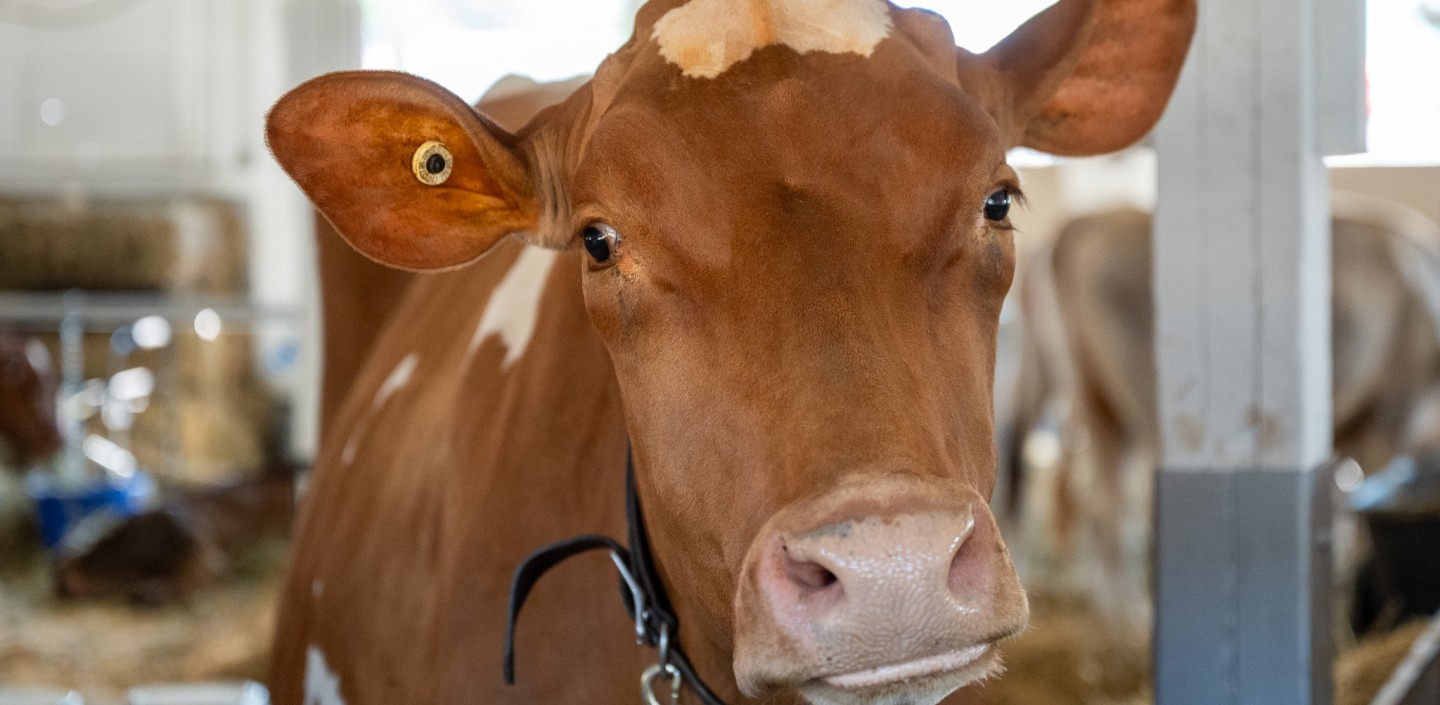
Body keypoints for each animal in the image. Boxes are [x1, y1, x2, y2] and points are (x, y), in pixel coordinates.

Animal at [1009, 197, 1440, 620]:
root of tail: (1082, 221)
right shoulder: (1396, 411)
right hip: (1133, 402)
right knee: (1118, 498)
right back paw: (1130, 612)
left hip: (1094, 396)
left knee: (1097, 495)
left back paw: (1111, 605)